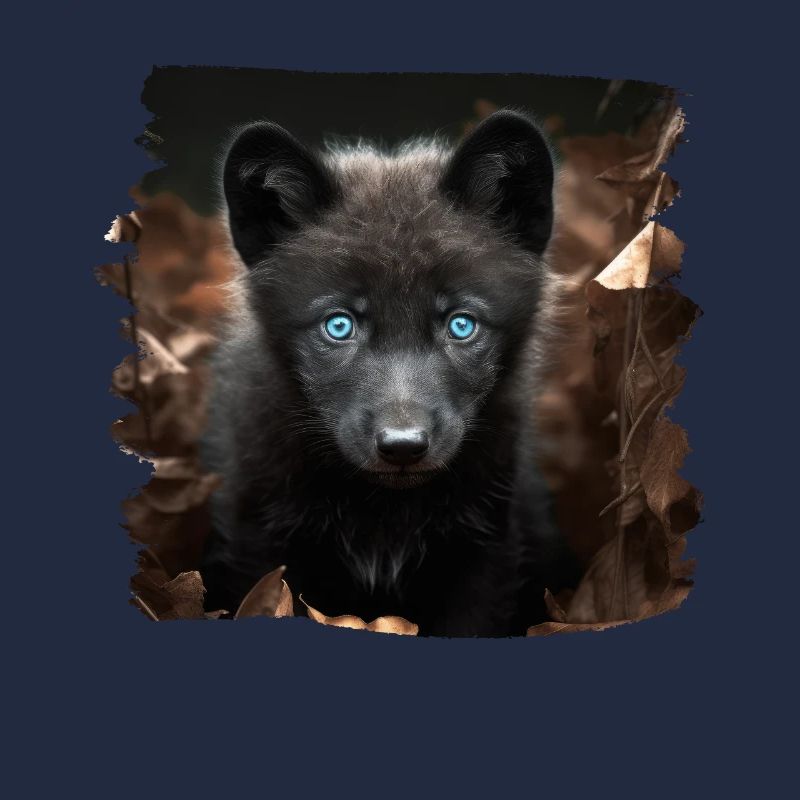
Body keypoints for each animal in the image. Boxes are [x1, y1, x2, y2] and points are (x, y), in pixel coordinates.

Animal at [199, 109, 579, 636]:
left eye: (461, 324)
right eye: (339, 325)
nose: (403, 447)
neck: (384, 516)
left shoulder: (486, 550)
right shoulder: (257, 540)